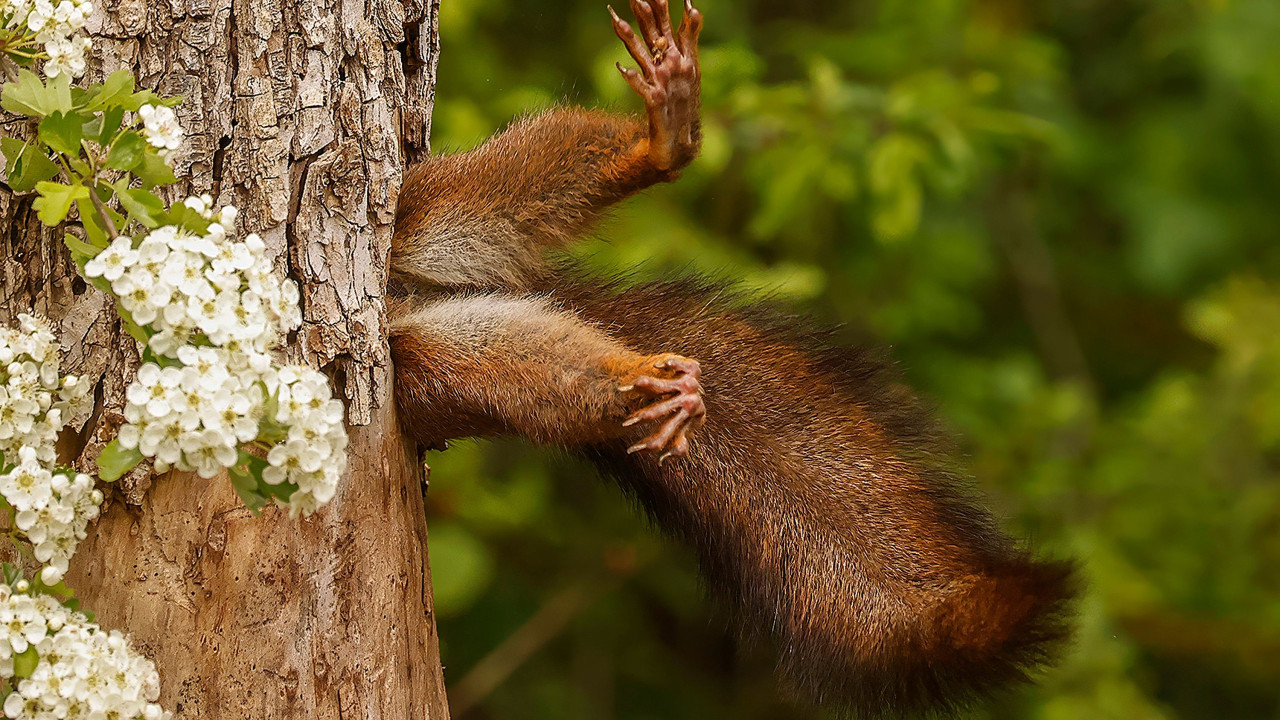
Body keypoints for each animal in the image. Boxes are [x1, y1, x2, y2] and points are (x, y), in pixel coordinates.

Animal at [384, 2, 1075, 712]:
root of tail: (411, 297)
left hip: (425, 210)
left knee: (504, 188)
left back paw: (662, 143)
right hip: (427, 365)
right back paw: (643, 384)